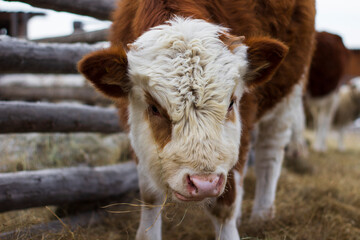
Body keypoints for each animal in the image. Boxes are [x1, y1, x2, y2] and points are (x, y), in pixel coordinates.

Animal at [77, 0, 314, 239]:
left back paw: (262, 214)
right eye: (154, 108)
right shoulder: (137, 132)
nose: (204, 184)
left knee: (270, 153)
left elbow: (223, 206)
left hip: (288, 92)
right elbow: (150, 196)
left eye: (231, 103)